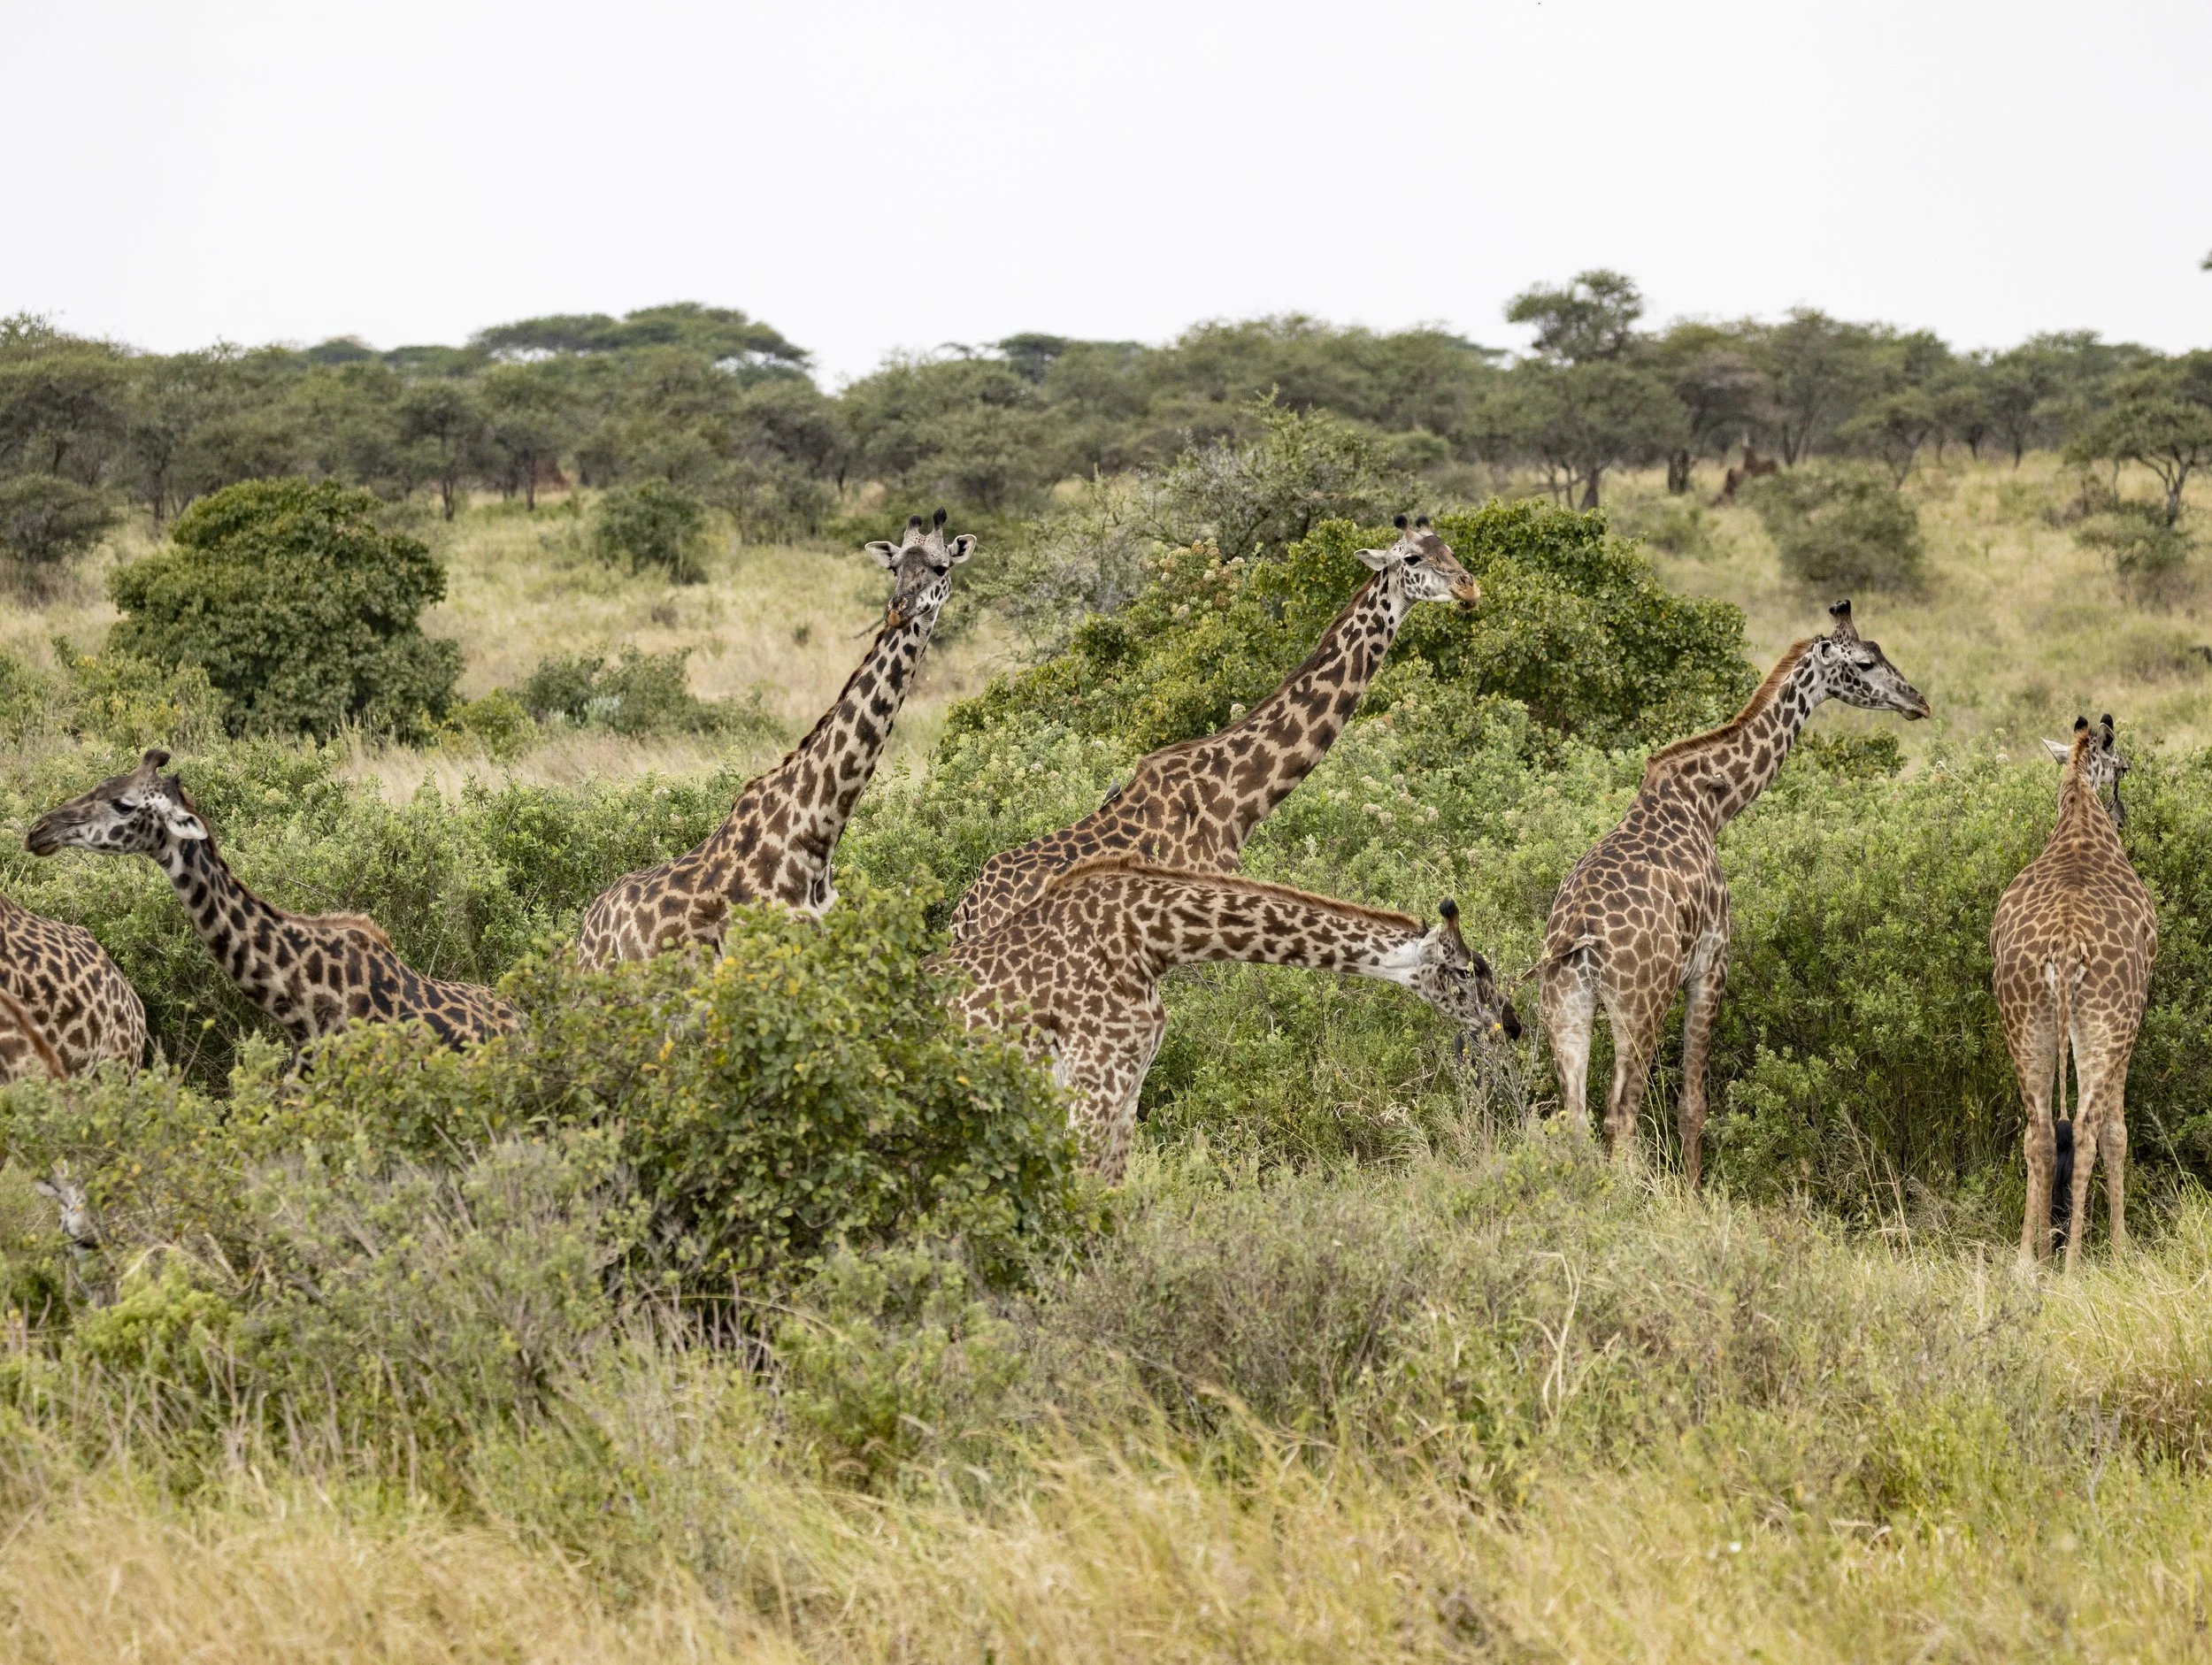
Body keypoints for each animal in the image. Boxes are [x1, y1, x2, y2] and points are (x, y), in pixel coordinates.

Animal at [1539, 600, 1929, 1185]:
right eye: (1864, 662)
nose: (1918, 702)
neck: (1711, 805)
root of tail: (1579, 939)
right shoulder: (1712, 965)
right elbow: (1693, 1104)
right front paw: (1693, 1195)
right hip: (1639, 1006)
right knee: (1621, 1116)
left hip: (1565, 1008)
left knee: (1577, 1117)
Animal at [1992, 714, 2156, 1270]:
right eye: (2123, 767)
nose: (2123, 814)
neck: (2081, 817)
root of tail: (2064, 947)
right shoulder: (2131, 1026)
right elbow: (2116, 1133)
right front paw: (2123, 1251)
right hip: (2108, 1022)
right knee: (2084, 1130)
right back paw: (2072, 1264)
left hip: (2024, 1019)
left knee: (2039, 1132)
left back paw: (2030, 1260)